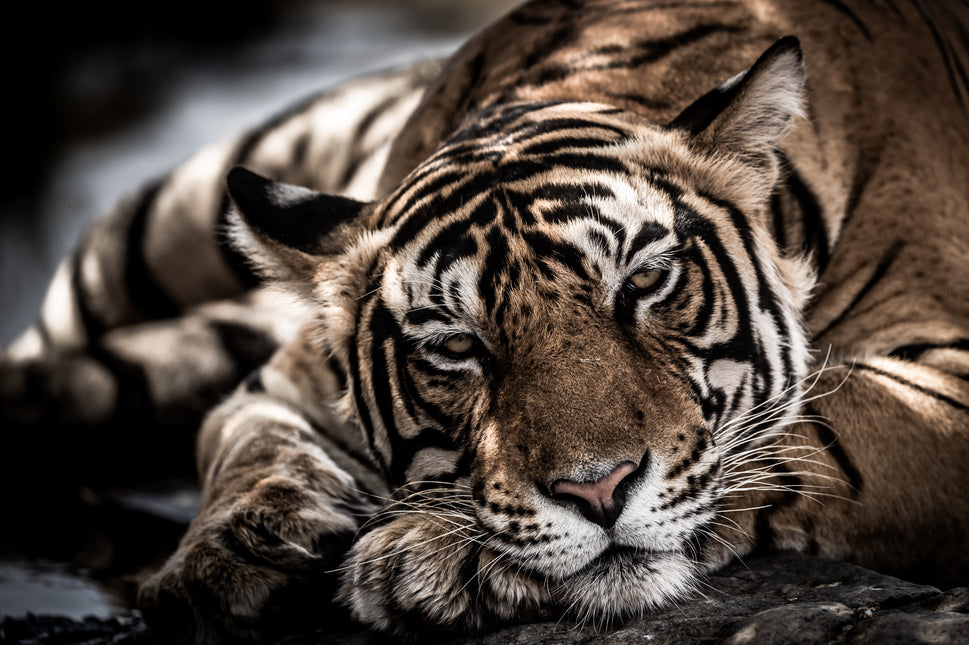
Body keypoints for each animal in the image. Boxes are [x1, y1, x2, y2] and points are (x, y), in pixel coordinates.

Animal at [4, 0, 969, 643]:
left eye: (645, 281)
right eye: (455, 346)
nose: (598, 491)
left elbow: (816, 426)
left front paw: (433, 554)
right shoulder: (281, 379)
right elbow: (243, 441)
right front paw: (223, 557)